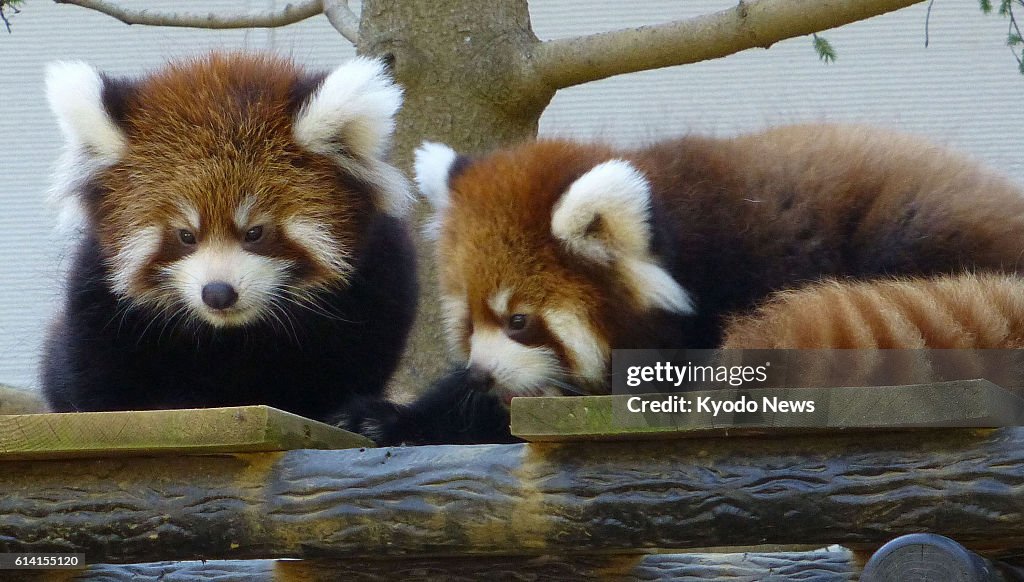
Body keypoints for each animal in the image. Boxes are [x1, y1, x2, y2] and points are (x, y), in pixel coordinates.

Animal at [39, 52, 415, 420]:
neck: (228, 335)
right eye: (186, 235)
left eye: (255, 232)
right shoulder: (97, 299)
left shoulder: (372, 289)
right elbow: (94, 374)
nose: (218, 293)